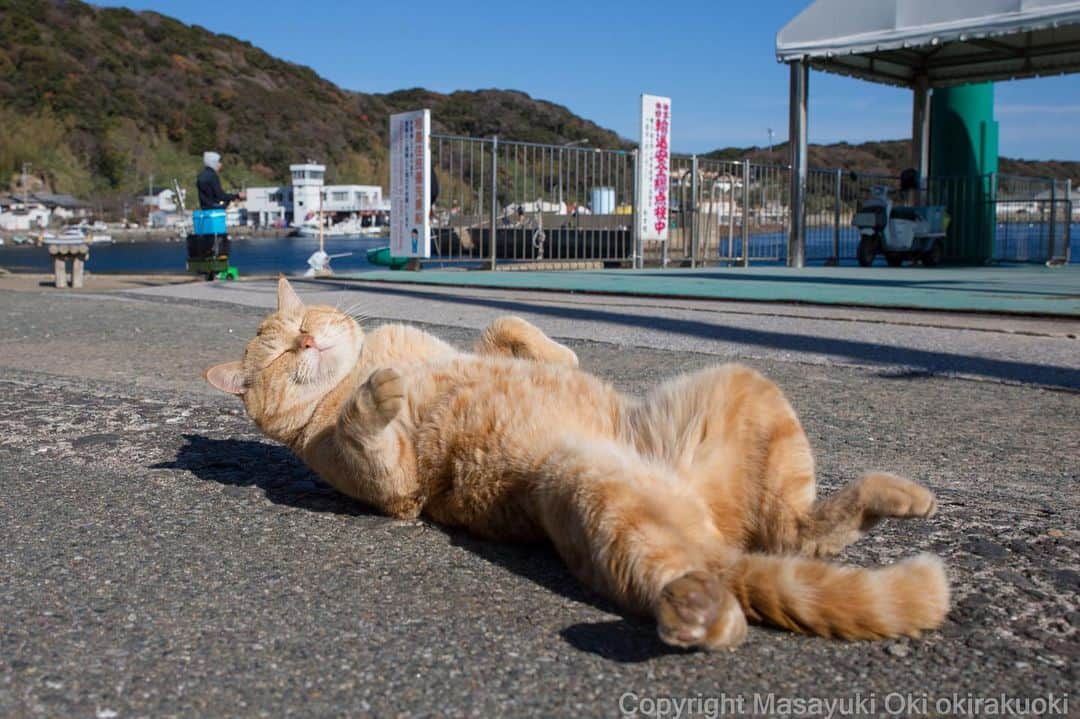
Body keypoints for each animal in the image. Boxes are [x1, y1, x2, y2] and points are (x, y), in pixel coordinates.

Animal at [206, 276, 950, 647]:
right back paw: (699, 613)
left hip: (744, 387)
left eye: (303, 325)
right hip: (588, 490)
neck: (357, 365)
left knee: (798, 533)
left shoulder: (465, 343)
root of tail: (716, 539)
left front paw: (561, 355)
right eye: (278, 356)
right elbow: (371, 425)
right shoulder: (394, 489)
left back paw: (881, 500)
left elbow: (508, 326)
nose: (306, 340)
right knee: (705, 582)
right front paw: (376, 392)